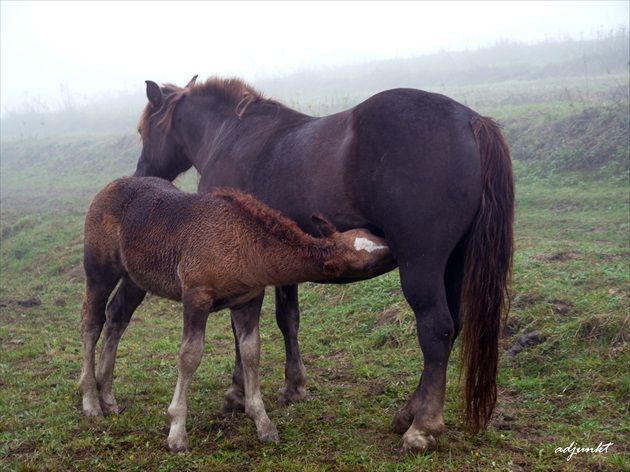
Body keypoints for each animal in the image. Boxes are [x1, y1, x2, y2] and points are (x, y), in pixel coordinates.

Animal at [133, 76, 512, 454]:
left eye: (143, 130)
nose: (141, 174)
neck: (231, 135)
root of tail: (470, 121)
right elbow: (288, 320)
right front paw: (293, 386)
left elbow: (241, 334)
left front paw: (237, 393)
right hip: (454, 264)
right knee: (453, 329)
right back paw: (408, 412)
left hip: (421, 265)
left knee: (436, 331)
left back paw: (421, 428)